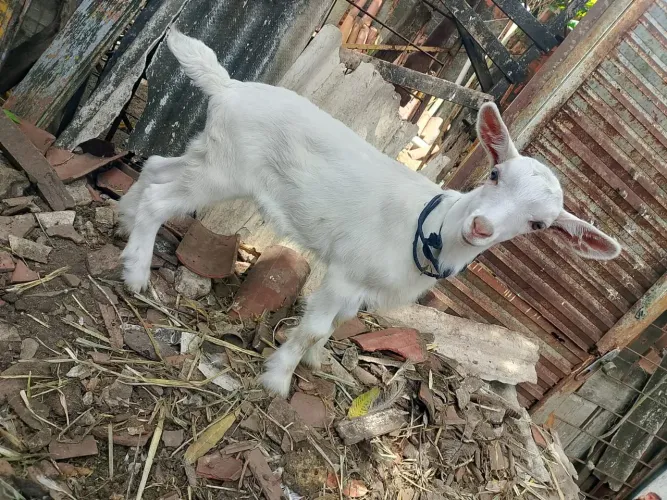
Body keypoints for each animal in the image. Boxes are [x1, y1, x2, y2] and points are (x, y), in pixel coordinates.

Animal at [119, 29, 622, 397]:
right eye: (495, 174)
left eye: (539, 225)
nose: (481, 227)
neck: (427, 229)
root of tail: (227, 86)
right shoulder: (347, 272)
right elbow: (314, 327)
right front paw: (277, 380)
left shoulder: (362, 288)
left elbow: (334, 327)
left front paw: (315, 363)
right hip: (226, 169)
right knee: (161, 199)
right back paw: (136, 274)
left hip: (210, 153)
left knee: (157, 166)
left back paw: (123, 222)